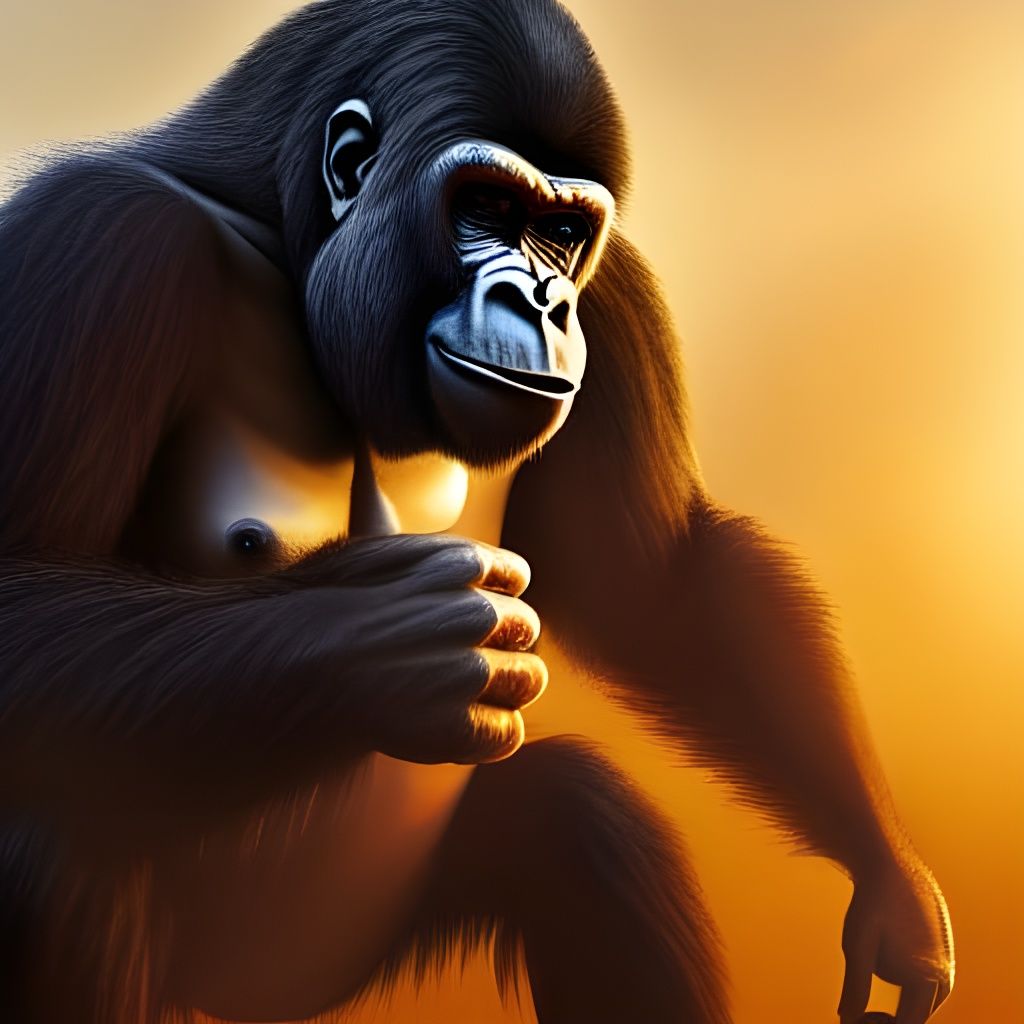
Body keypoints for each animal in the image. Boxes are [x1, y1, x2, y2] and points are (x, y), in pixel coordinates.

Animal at [0, 1, 954, 1022]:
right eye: (487, 209)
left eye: (562, 233)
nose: (542, 297)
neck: (291, 246)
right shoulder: (95, 242)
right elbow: (20, 585)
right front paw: (385, 636)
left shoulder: (612, 301)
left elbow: (661, 584)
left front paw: (893, 882)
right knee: (58, 833)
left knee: (584, 821)